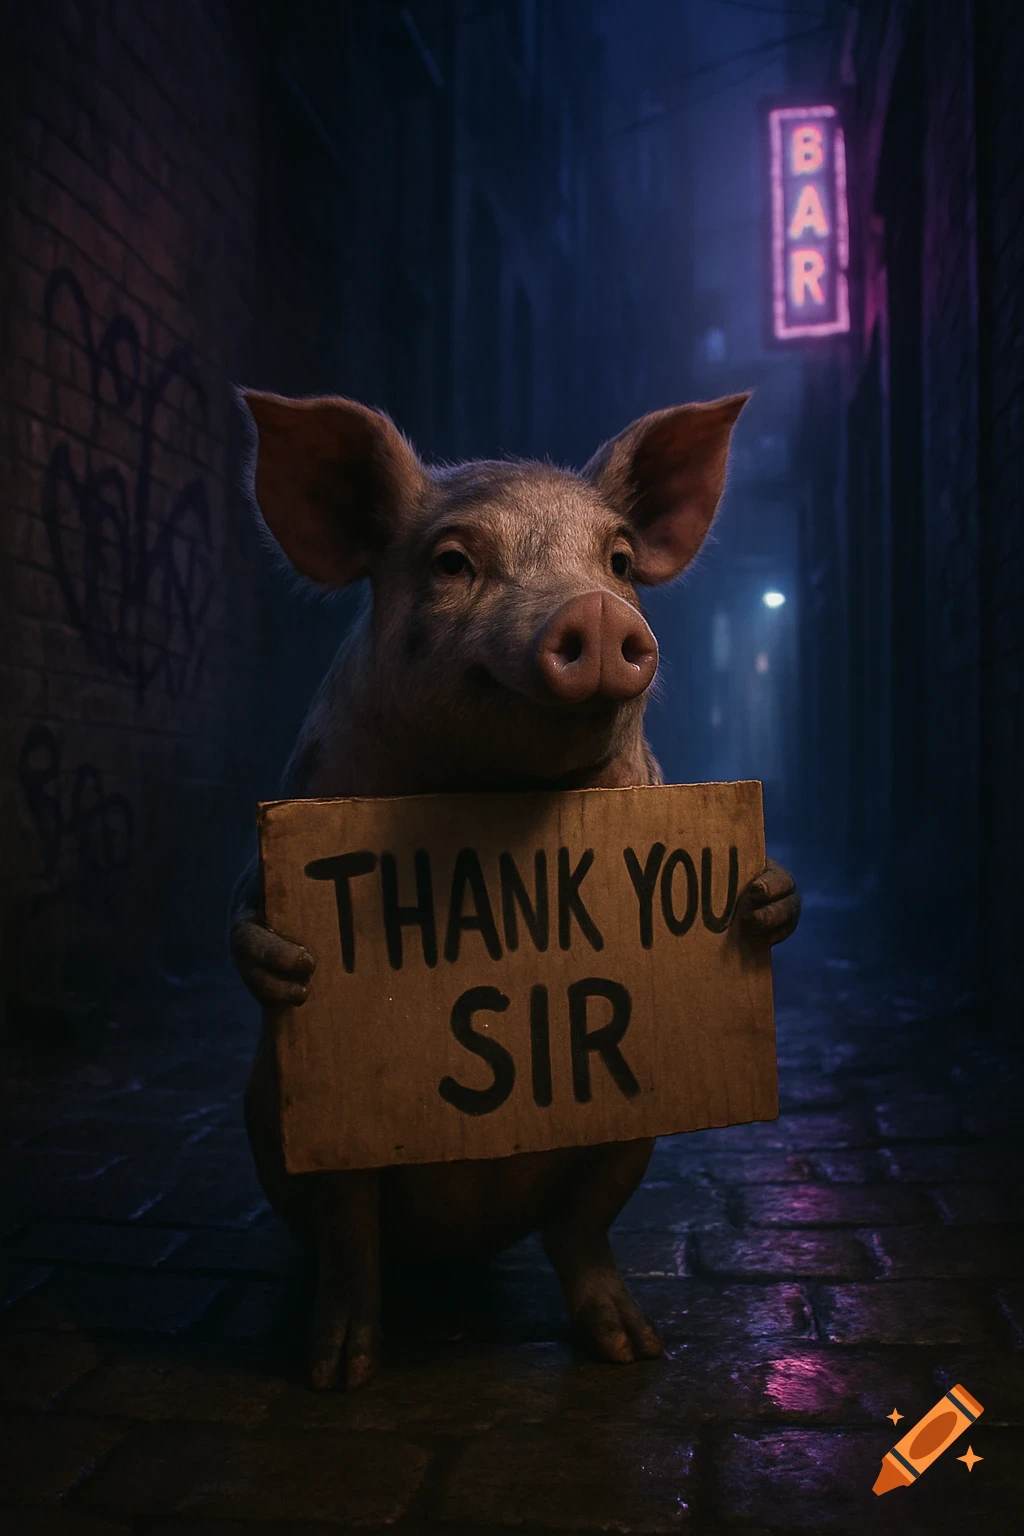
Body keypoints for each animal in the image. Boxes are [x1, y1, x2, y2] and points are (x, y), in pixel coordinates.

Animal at [229, 389, 801, 1390]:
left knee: (580, 1232)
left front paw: (766, 898)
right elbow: (240, 914)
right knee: (350, 1237)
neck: (497, 795)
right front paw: (288, 961)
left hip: (628, 1132)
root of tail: (459, 1251)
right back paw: (341, 1371)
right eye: (453, 562)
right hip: (306, 1128)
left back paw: (634, 1347)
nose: (597, 614)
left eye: (619, 561)